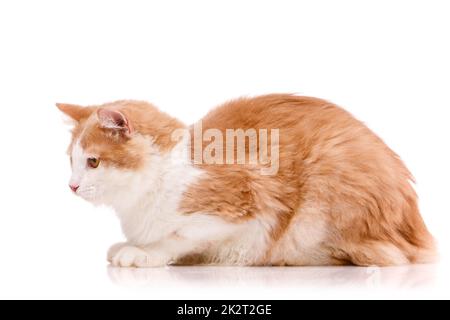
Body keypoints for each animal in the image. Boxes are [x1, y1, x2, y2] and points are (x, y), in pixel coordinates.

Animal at [58, 94, 438, 268]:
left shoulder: (247, 202)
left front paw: (144, 253)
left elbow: (178, 237)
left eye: (93, 162)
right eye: (71, 161)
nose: (72, 186)